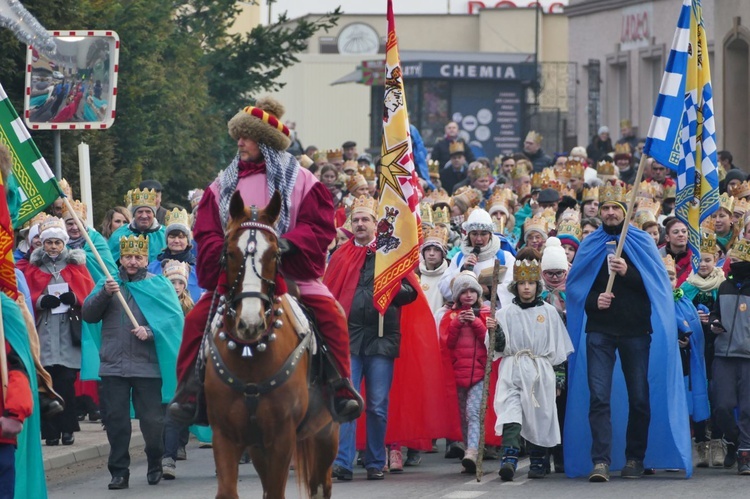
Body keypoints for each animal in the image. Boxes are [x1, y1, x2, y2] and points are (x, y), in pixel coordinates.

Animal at [203, 191, 338, 499]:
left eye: (276, 254)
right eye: (229, 253)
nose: (250, 323)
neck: (251, 355)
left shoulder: (281, 437)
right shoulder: (226, 436)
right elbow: (228, 491)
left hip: (325, 434)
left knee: (320, 485)